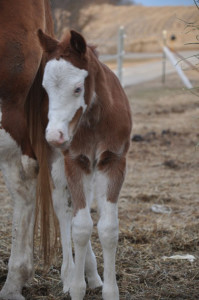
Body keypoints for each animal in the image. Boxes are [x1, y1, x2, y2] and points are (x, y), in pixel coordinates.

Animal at [38, 28, 133, 300]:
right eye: (45, 88)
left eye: (78, 88)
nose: (54, 135)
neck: (94, 120)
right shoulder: (75, 161)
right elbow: (80, 227)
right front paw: (76, 287)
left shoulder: (113, 161)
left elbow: (107, 228)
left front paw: (110, 290)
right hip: (57, 165)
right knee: (63, 210)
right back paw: (69, 276)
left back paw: (93, 276)